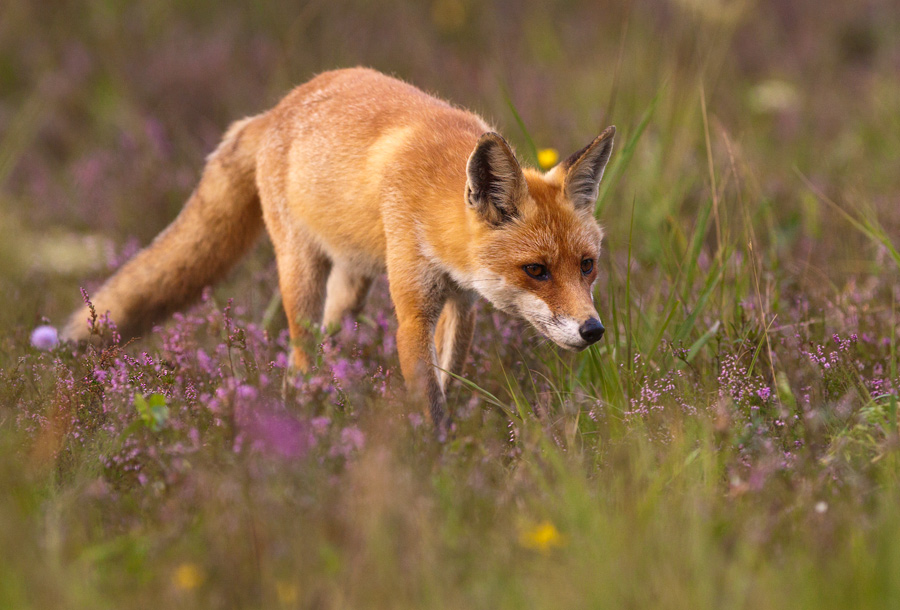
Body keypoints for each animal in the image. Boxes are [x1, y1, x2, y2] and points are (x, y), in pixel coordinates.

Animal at [62, 67, 615, 430]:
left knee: (328, 345)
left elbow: (449, 379)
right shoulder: (412, 310)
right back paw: (306, 414)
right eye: (536, 270)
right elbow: (430, 399)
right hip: (301, 274)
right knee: (299, 359)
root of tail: (274, 110)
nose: (593, 330)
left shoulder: (461, 302)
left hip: (351, 287)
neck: (433, 201)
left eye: (587, 266)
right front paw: (438, 467)